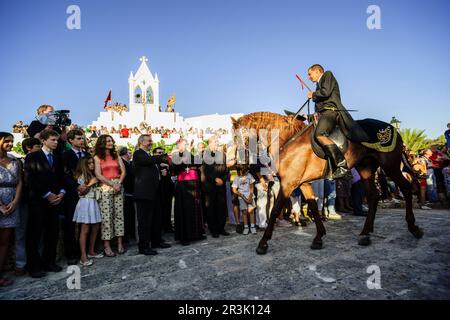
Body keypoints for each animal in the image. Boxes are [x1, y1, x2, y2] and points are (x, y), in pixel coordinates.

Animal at [230, 111, 424, 254]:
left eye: (237, 137)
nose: (236, 163)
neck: (289, 140)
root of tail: (394, 130)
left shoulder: (289, 184)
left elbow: (275, 210)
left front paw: (263, 243)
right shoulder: (302, 184)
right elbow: (314, 206)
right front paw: (319, 237)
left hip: (390, 165)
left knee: (406, 189)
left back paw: (413, 227)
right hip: (366, 169)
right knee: (373, 196)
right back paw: (365, 233)